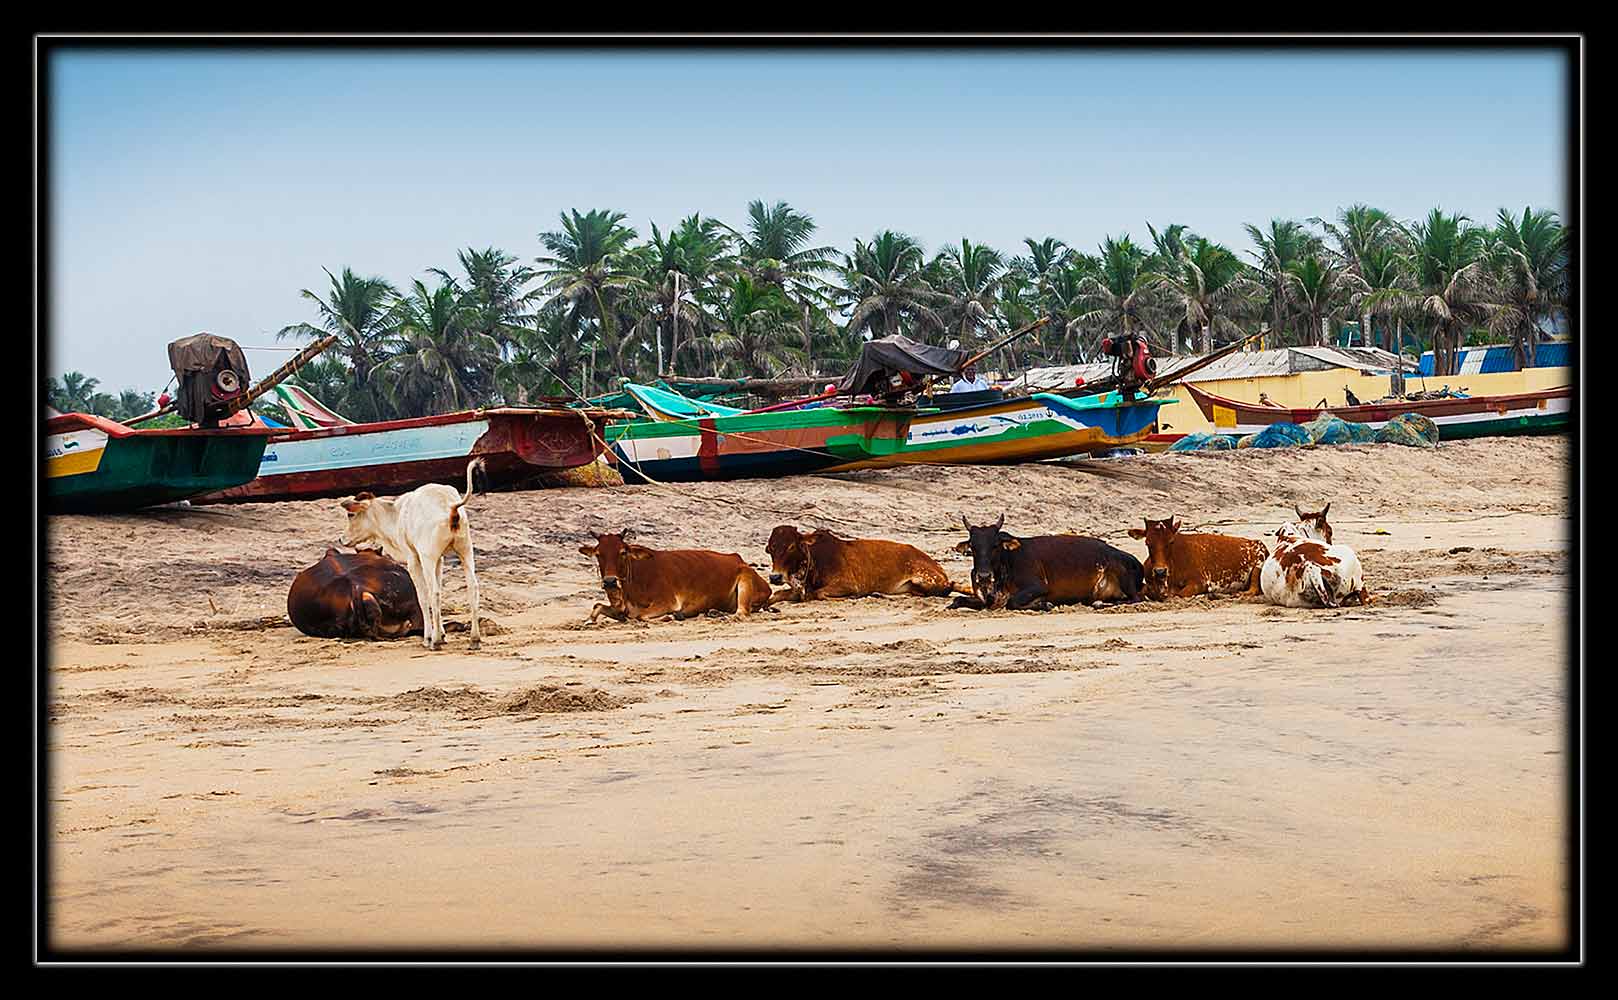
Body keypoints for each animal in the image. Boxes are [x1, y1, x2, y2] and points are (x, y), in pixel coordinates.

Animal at [336, 456, 482, 647]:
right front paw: (442, 634)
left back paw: (434, 641)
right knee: (472, 587)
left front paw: (430, 637)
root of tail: (451, 507)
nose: (342, 539)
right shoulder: (439, 560)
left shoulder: (414, 559)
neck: (397, 515)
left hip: (428, 558)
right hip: (465, 551)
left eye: (351, 515)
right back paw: (474, 639)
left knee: (433, 593)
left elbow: (423, 596)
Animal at [582, 524, 776, 618]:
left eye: (623, 552)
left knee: (742, 613)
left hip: (745, 579)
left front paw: (671, 616)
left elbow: (639, 616)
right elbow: (597, 607)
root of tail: (739, 560)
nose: (609, 581)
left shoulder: (667, 602)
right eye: (598, 554)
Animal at [763, 521, 964, 598]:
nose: (775, 577)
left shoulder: (848, 584)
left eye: (791, 546)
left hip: (924, 578)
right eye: (770, 549)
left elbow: (820, 594)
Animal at [944, 514, 1145, 608]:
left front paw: (1044, 604)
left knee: (1135, 599)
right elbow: (958, 600)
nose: (984, 576)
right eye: (973, 546)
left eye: (995, 545)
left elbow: (1013, 602)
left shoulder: (1038, 586)